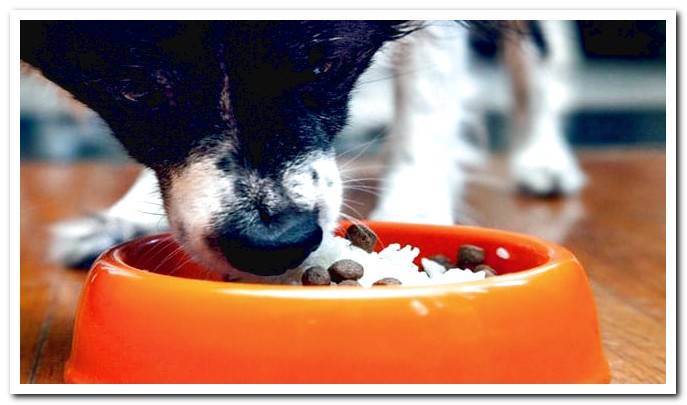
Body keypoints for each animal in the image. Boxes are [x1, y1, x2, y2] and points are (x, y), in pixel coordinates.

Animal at [20, 20, 584, 280]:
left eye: (324, 63)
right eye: (133, 89)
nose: (273, 244)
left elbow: (427, 101)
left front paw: (416, 213)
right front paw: (125, 216)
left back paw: (544, 159)